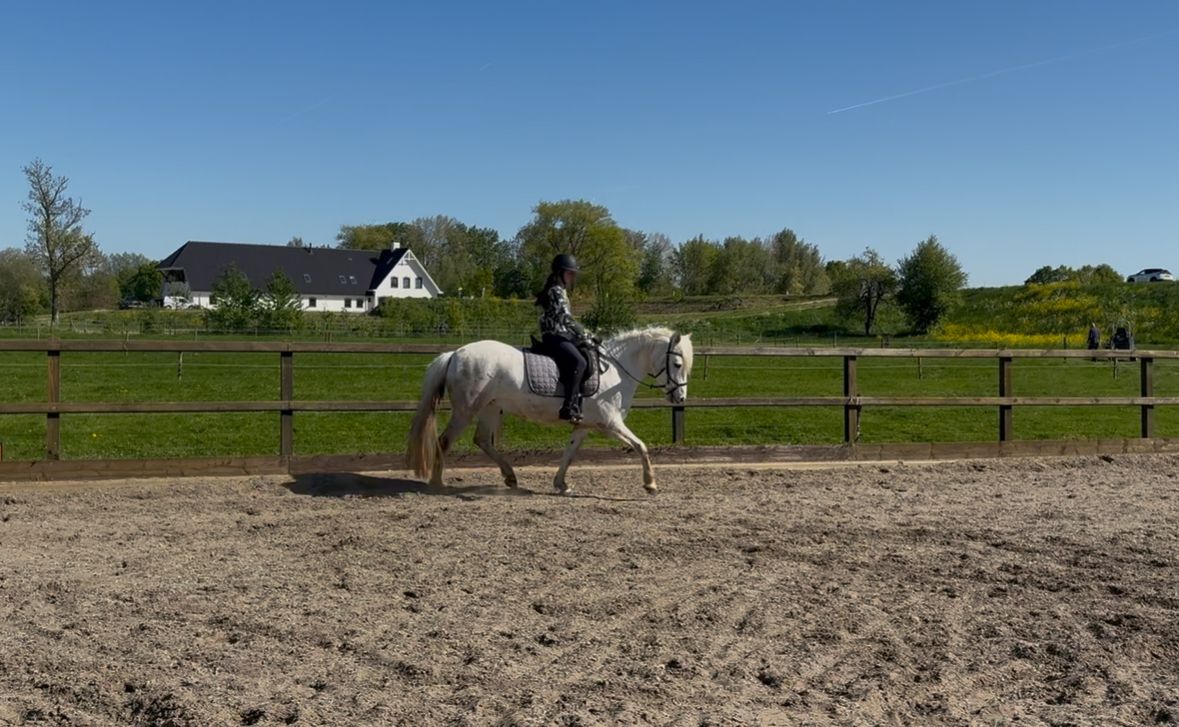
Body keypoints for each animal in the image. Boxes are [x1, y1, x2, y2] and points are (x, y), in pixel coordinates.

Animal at [406, 326, 693, 494]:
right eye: (678, 364)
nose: (680, 397)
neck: (615, 370)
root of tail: (455, 353)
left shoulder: (584, 425)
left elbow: (569, 453)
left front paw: (561, 484)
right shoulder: (612, 424)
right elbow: (641, 446)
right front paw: (650, 484)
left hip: (491, 408)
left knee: (482, 440)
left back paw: (510, 477)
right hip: (466, 410)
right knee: (444, 441)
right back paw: (437, 483)